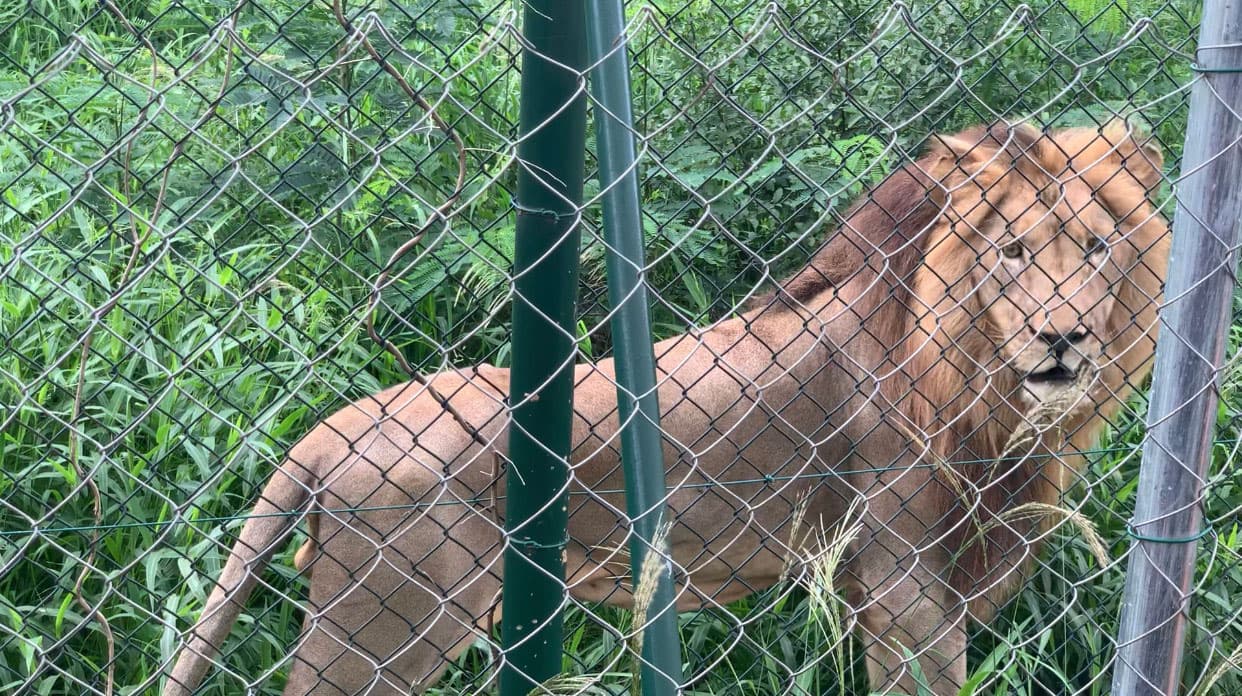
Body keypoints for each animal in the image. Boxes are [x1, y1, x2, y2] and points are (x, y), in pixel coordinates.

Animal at [163, 120, 1168, 696]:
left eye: (1095, 245)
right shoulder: (906, 582)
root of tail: (332, 432)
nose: (1066, 336)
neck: (977, 372)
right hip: (380, 628)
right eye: (1012, 251)